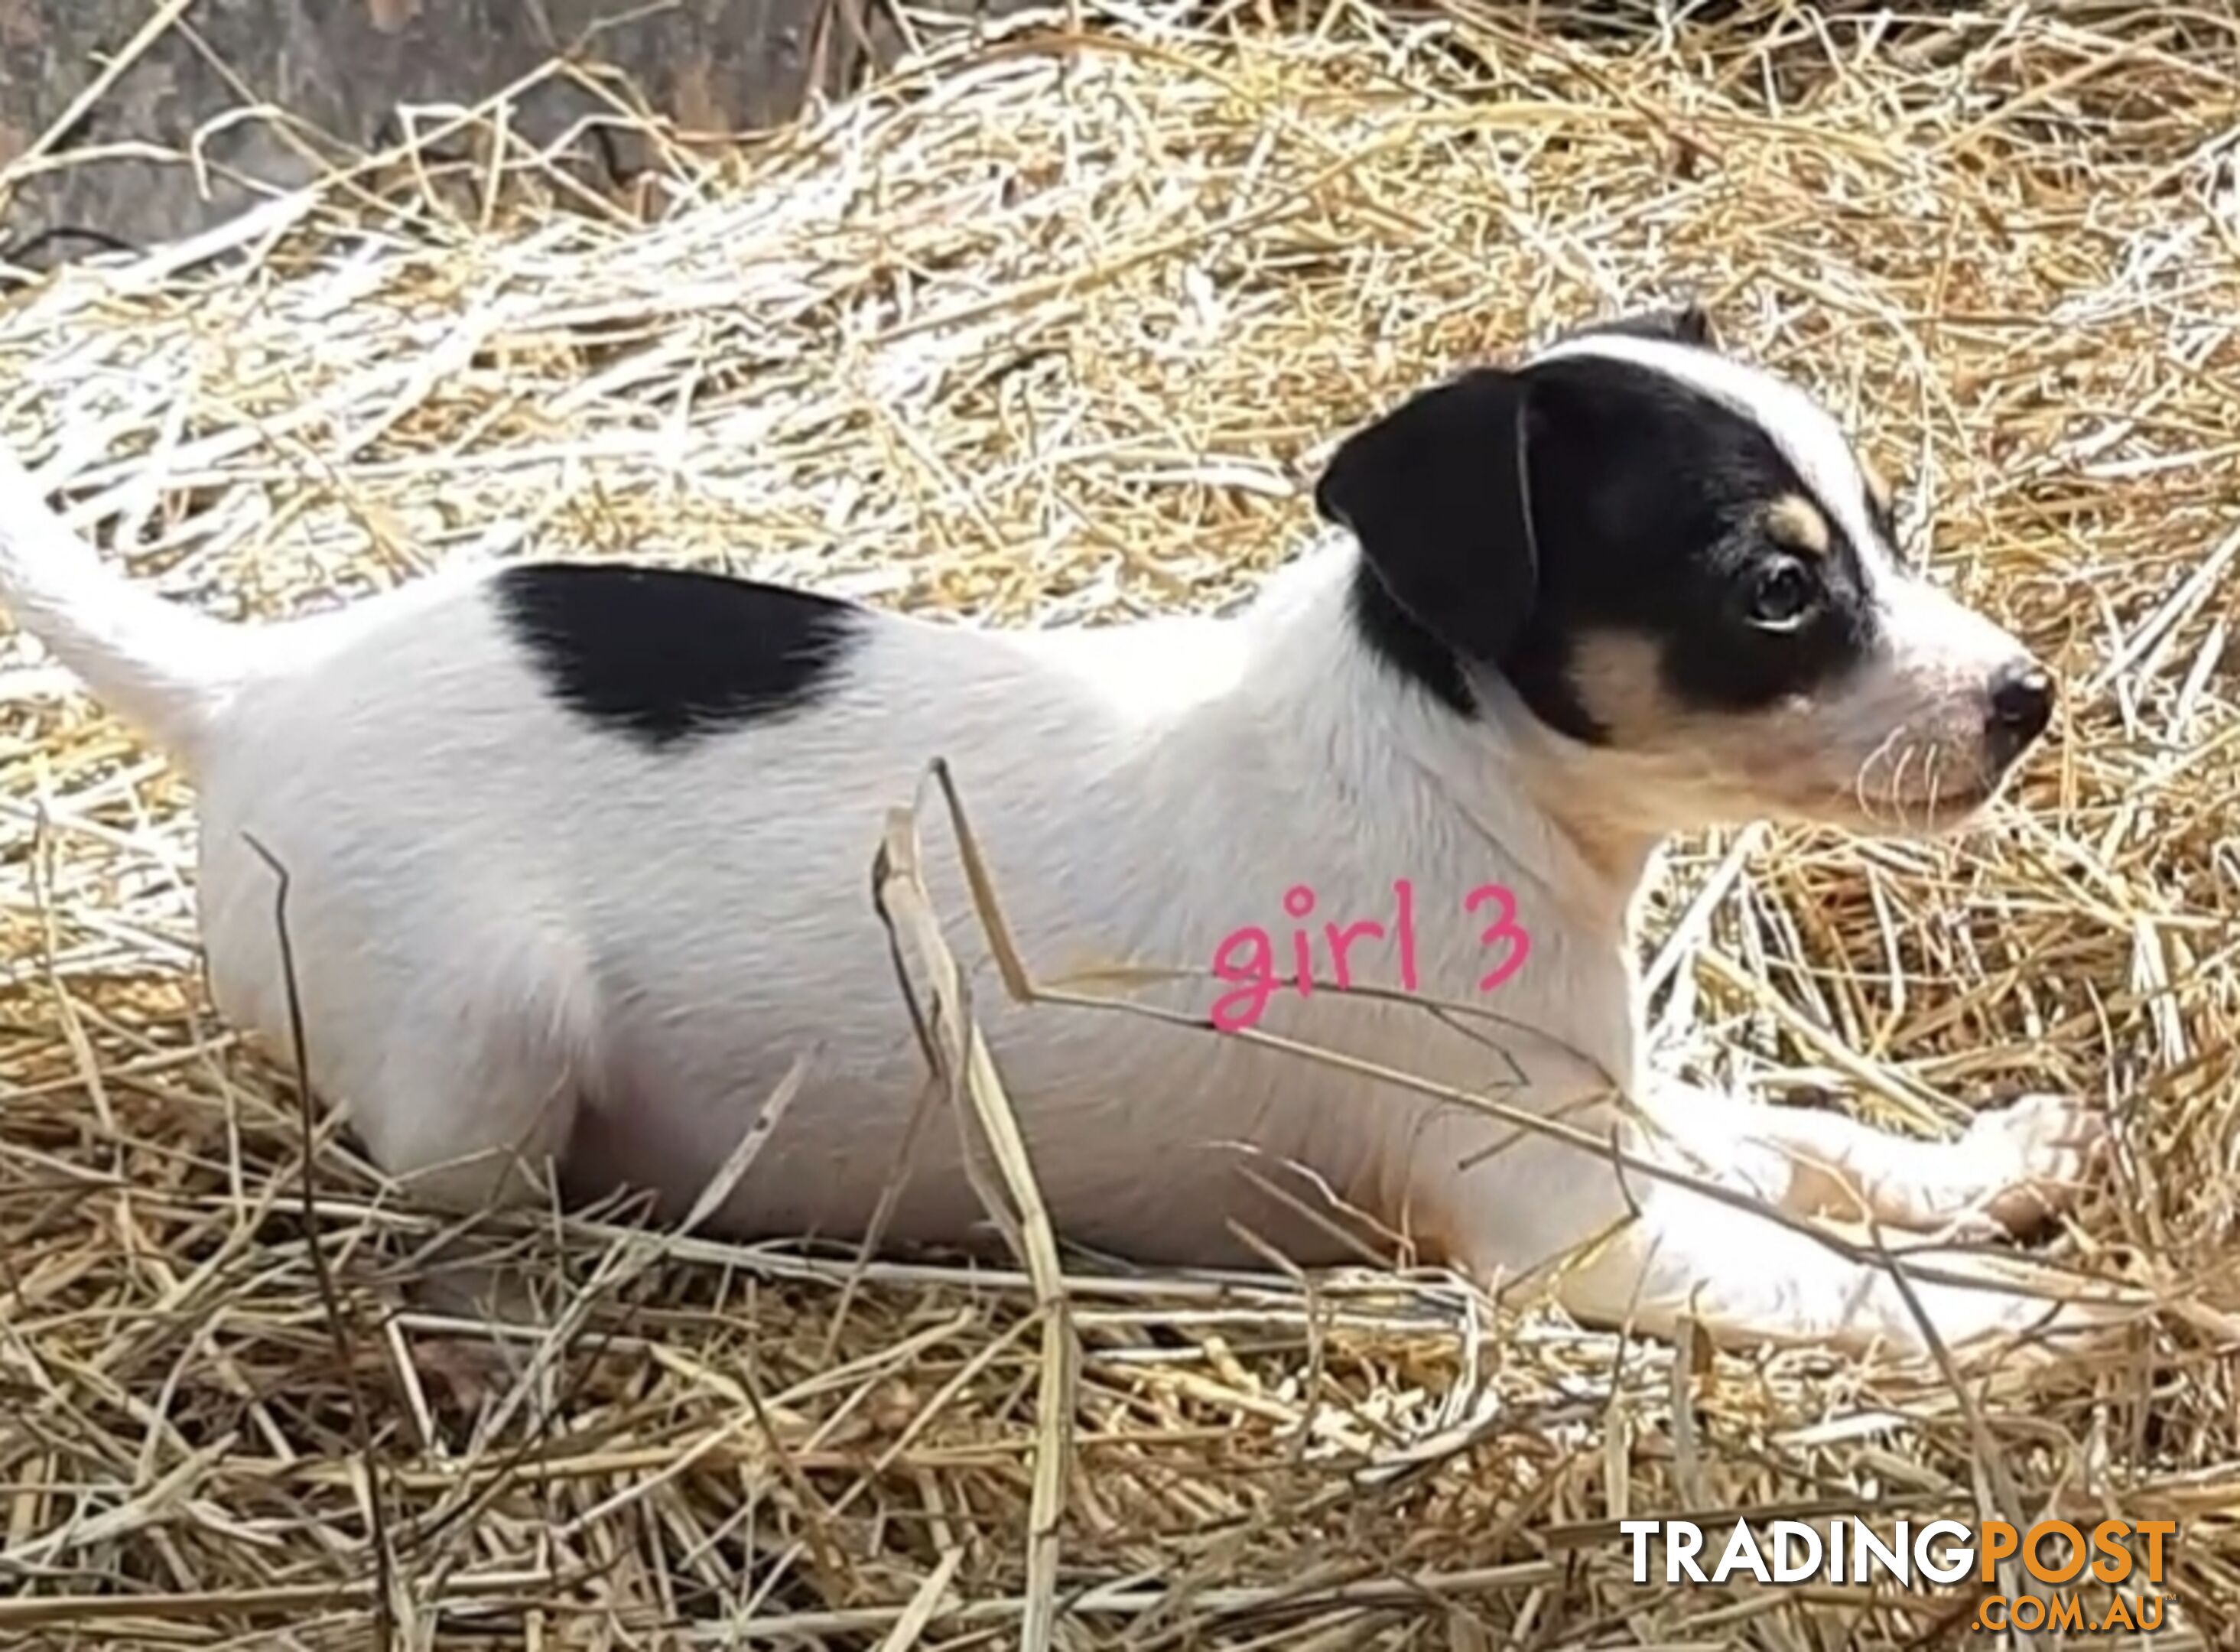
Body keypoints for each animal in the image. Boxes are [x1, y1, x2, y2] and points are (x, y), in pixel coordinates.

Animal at [0, 307, 2105, 1354]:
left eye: (1885, 524)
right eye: (1777, 590)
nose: (2026, 695)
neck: (1447, 750)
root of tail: (255, 687)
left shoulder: (1610, 1100)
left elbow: (1809, 1147)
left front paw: (1990, 1162)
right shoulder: (1572, 1228)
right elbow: (1841, 1281)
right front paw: (2055, 1318)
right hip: (475, 1051)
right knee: (452, 1235)